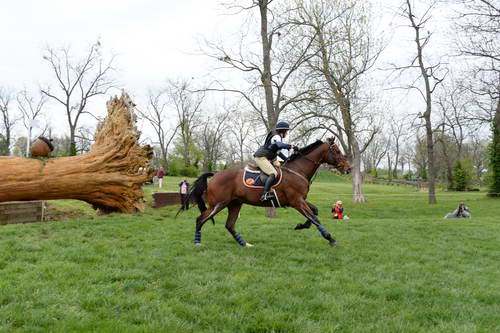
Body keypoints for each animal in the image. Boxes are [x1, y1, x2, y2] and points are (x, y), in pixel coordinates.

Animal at [186, 136, 350, 245]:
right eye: (336, 151)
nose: (348, 169)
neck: (298, 170)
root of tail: (215, 174)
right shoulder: (296, 201)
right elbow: (315, 218)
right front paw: (330, 238)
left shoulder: (300, 200)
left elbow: (314, 213)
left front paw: (300, 226)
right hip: (219, 204)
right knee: (200, 219)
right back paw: (197, 242)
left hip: (235, 203)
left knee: (229, 225)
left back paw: (244, 243)